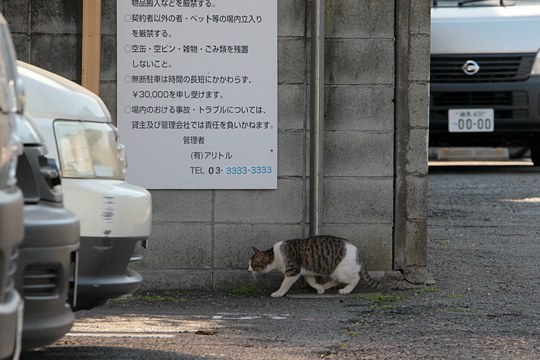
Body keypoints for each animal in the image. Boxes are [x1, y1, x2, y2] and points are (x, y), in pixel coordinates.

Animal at [247, 235, 382, 296]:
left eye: (253, 265)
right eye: (249, 265)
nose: (248, 270)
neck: (275, 255)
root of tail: (359, 252)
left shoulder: (293, 271)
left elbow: (284, 284)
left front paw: (278, 293)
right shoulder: (307, 271)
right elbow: (311, 282)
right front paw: (319, 288)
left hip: (342, 271)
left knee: (355, 279)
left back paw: (346, 290)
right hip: (336, 271)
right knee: (337, 280)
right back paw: (325, 286)